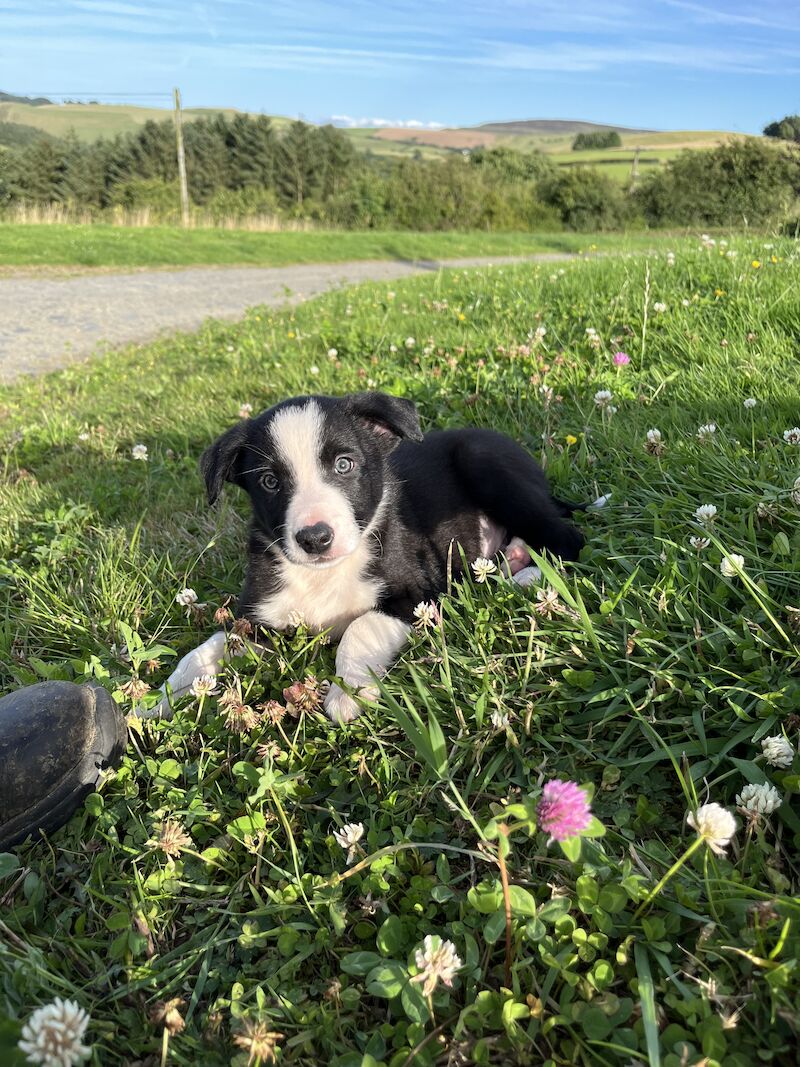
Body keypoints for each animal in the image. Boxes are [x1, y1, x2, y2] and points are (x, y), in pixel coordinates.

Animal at [156, 392, 584, 725]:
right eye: (270, 481)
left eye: (344, 464)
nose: (315, 538)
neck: (324, 576)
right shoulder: (258, 619)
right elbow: (206, 650)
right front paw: (161, 697)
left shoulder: (418, 593)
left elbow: (362, 626)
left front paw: (350, 692)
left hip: (484, 462)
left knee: (569, 539)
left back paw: (525, 578)